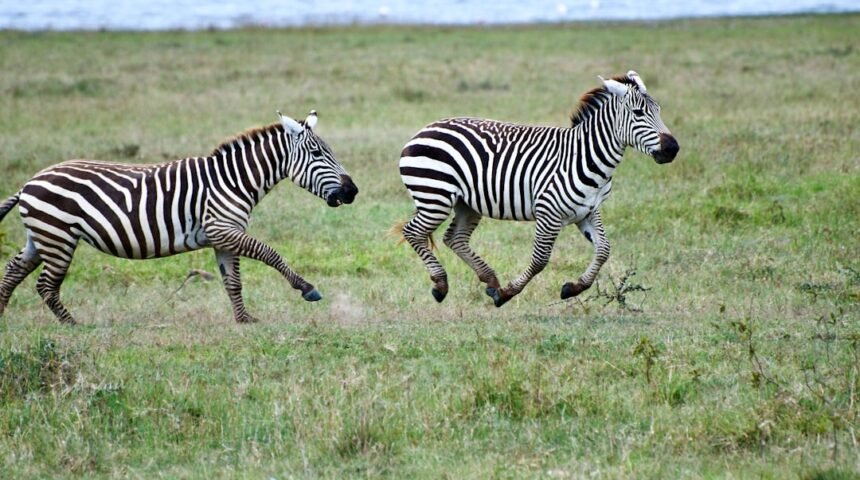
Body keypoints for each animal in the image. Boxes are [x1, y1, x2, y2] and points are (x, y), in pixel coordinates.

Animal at [0, 110, 358, 324]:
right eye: (317, 154)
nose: (352, 191)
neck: (234, 180)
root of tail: (29, 182)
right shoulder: (223, 229)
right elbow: (270, 253)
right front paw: (306, 288)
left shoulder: (222, 237)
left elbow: (232, 282)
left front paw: (244, 320)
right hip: (58, 237)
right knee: (46, 286)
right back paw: (74, 326)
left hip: (42, 237)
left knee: (14, 271)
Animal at [396, 71, 678, 307]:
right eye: (638, 113)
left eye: (659, 110)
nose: (672, 149)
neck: (587, 157)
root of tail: (425, 129)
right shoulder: (548, 213)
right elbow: (540, 259)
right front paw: (507, 294)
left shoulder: (588, 211)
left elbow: (604, 250)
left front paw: (574, 287)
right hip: (436, 197)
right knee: (413, 232)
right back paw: (441, 284)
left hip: (467, 204)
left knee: (454, 238)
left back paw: (489, 279)